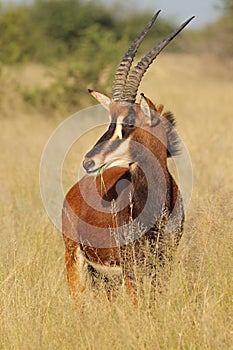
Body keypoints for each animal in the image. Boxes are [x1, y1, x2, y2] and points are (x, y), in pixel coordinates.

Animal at [62, 12, 194, 300]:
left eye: (129, 122)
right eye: (110, 121)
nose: (89, 161)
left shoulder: (162, 264)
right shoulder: (131, 269)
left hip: (104, 278)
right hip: (76, 262)